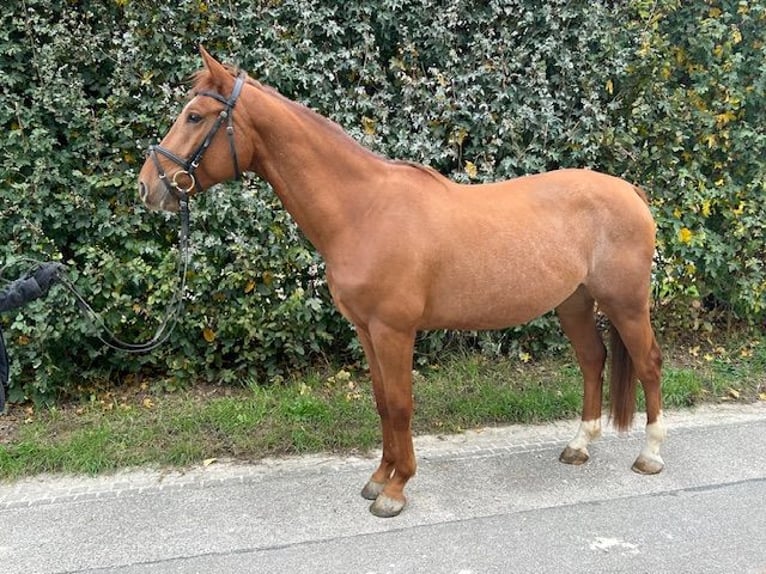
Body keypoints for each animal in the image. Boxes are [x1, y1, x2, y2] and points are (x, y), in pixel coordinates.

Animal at [138, 47, 665, 518]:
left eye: (194, 116)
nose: (147, 186)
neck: (363, 210)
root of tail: (631, 192)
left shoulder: (394, 331)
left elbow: (400, 404)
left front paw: (396, 489)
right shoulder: (367, 330)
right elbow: (381, 403)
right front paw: (378, 478)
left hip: (626, 302)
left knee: (648, 364)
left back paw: (650, 455)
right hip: (574, 302)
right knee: (593, 360)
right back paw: (580, 445)